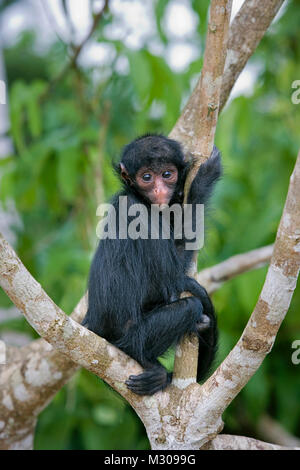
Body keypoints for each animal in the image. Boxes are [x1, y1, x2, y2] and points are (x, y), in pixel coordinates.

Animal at [83, 133, 221, 396]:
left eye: (167, 174)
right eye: (146, 177)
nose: (159, 189)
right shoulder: (139, 215)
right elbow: (173, 274)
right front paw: (203, 180)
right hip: (134, 336)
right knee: (189, 305)